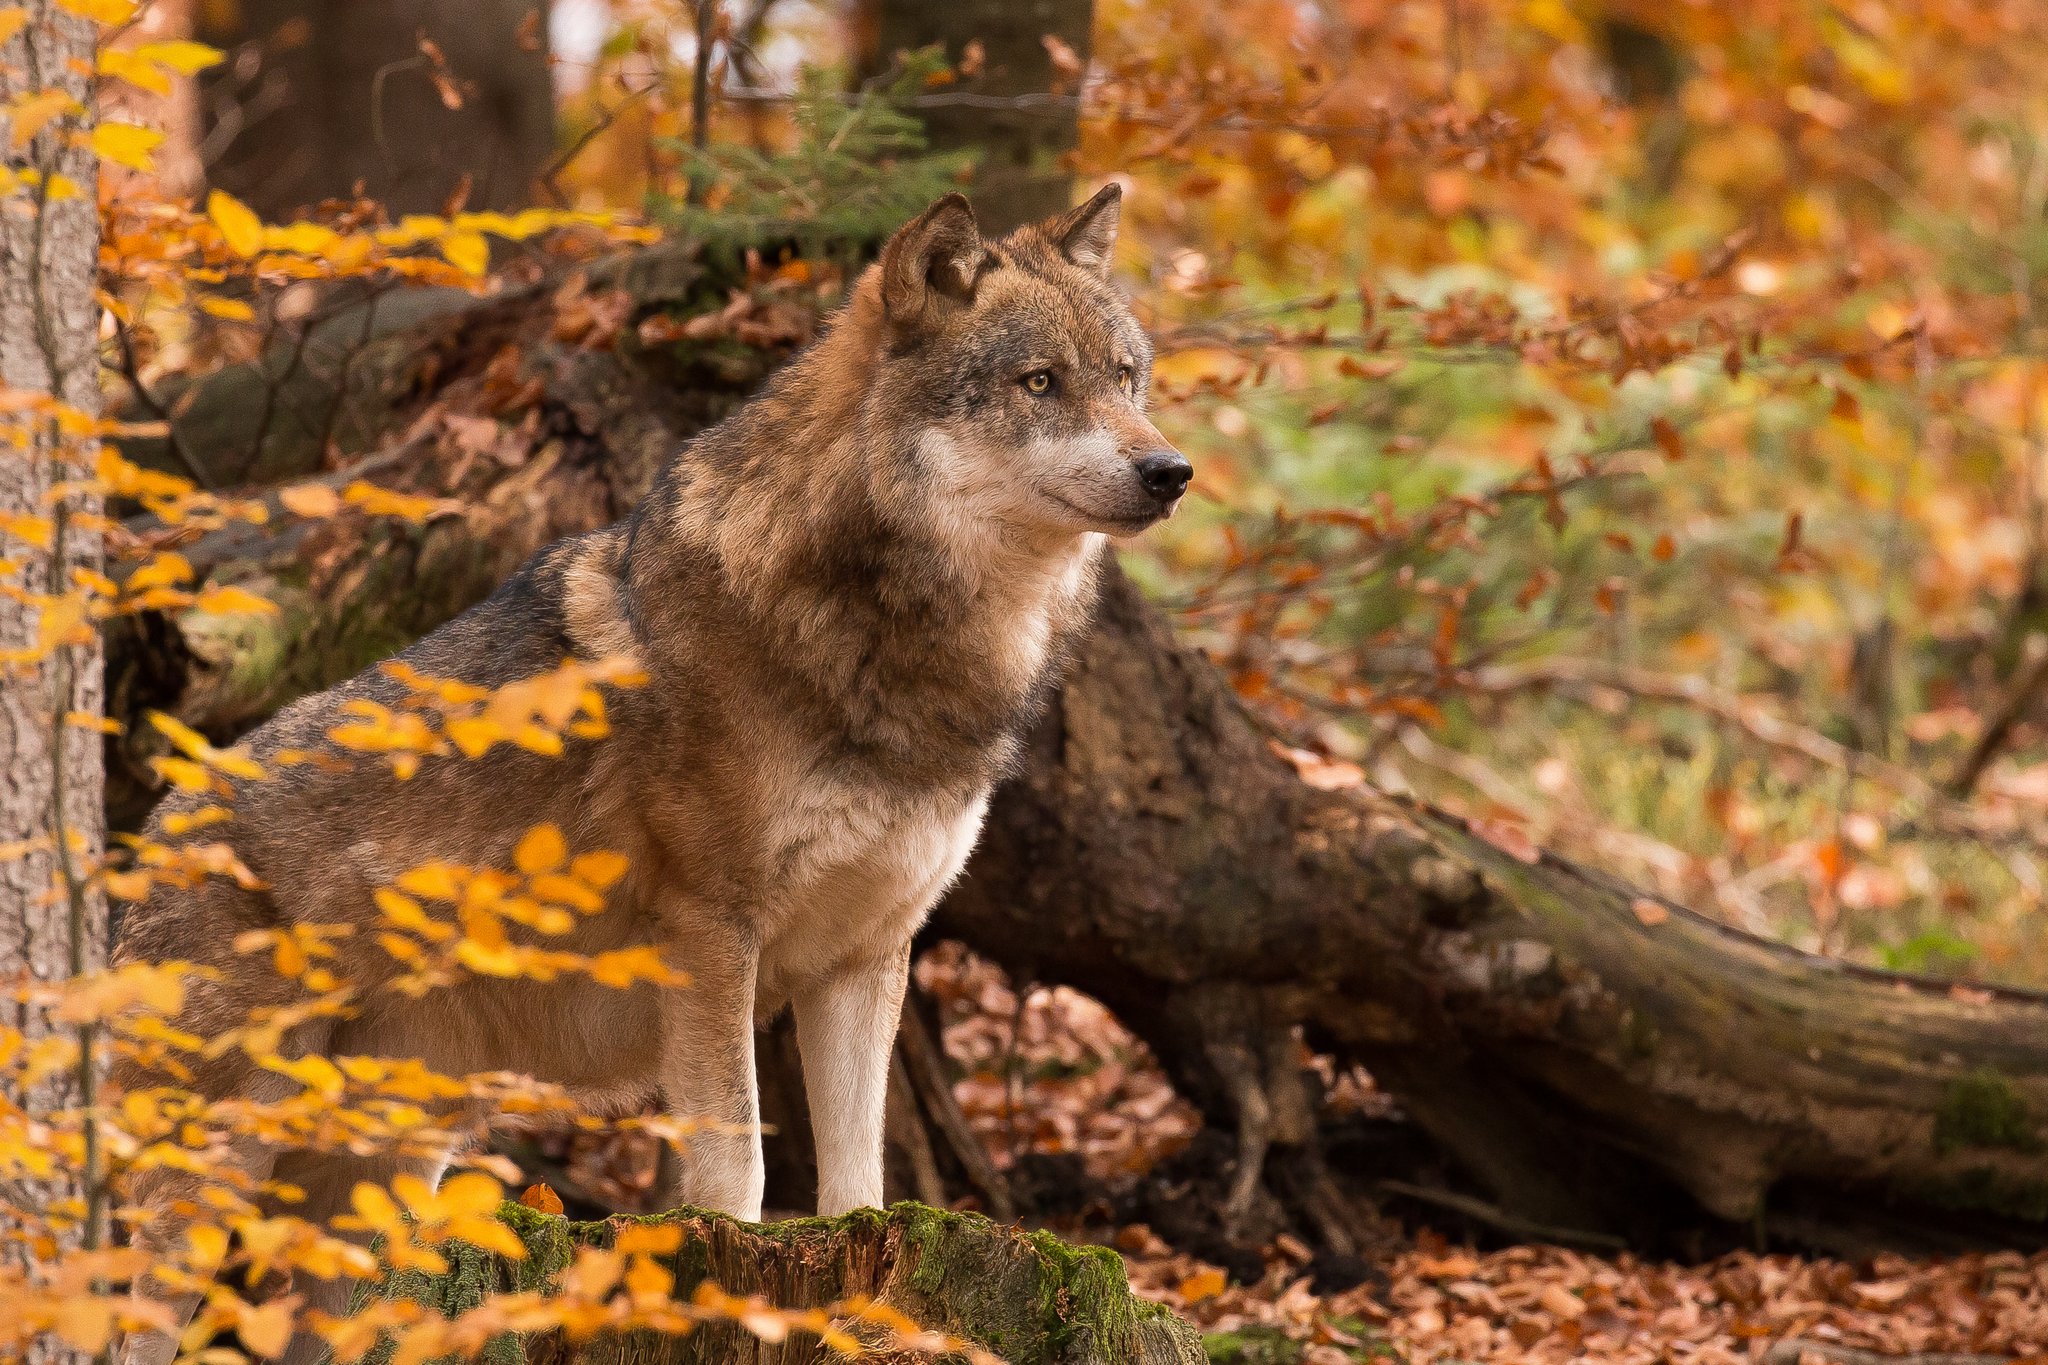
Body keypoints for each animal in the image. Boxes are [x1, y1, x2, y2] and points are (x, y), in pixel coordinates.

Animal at [113, 183, 1188, 1363]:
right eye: (1039, 382)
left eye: (1126, 378)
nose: (1169, 471)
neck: (893, 648)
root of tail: (146, 841)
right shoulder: (713, 933)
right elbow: (739, 1164)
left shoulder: (864, 957)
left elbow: (860, 1186)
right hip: (209, 1189)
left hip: (359, 1214)